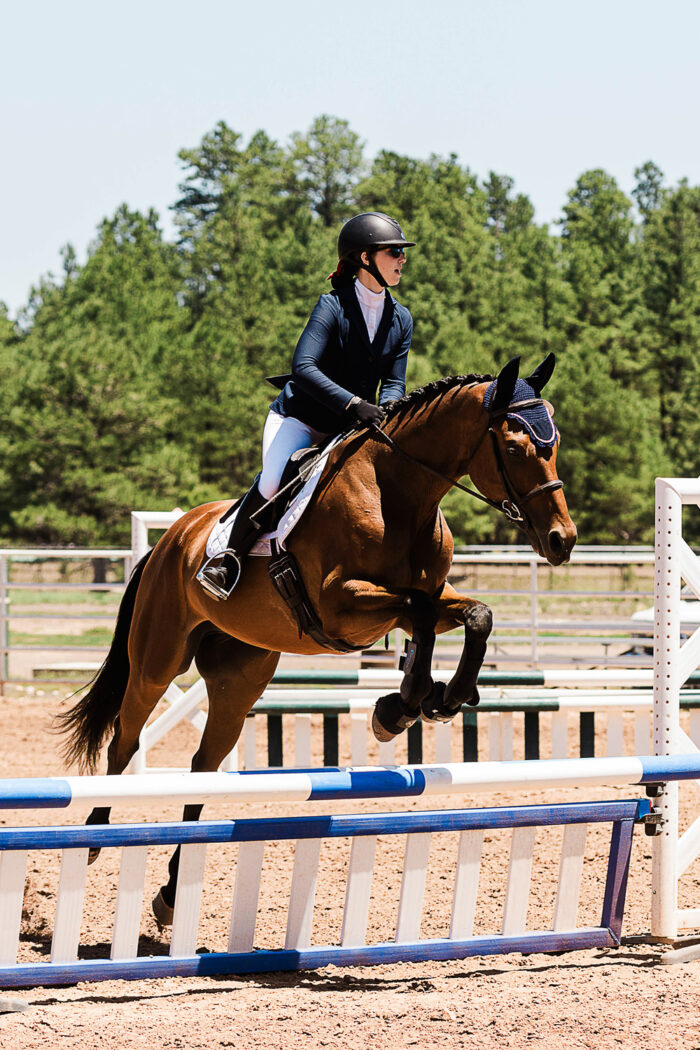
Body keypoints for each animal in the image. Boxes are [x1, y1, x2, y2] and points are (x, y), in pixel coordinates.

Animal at [57, 353, 577, 925]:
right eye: (515, 447)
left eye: (554, 445)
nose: (563, 541)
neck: (400, 492)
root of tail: (174, 537)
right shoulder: (341, 604)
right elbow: (417, 614)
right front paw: (404, 705)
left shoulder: (427, 599)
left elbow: (473, 616)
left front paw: (438, 699)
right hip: (157, 660)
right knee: (125, 739)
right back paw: (96, 837)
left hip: (240, 678)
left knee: (204, 765)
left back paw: (172, 893)